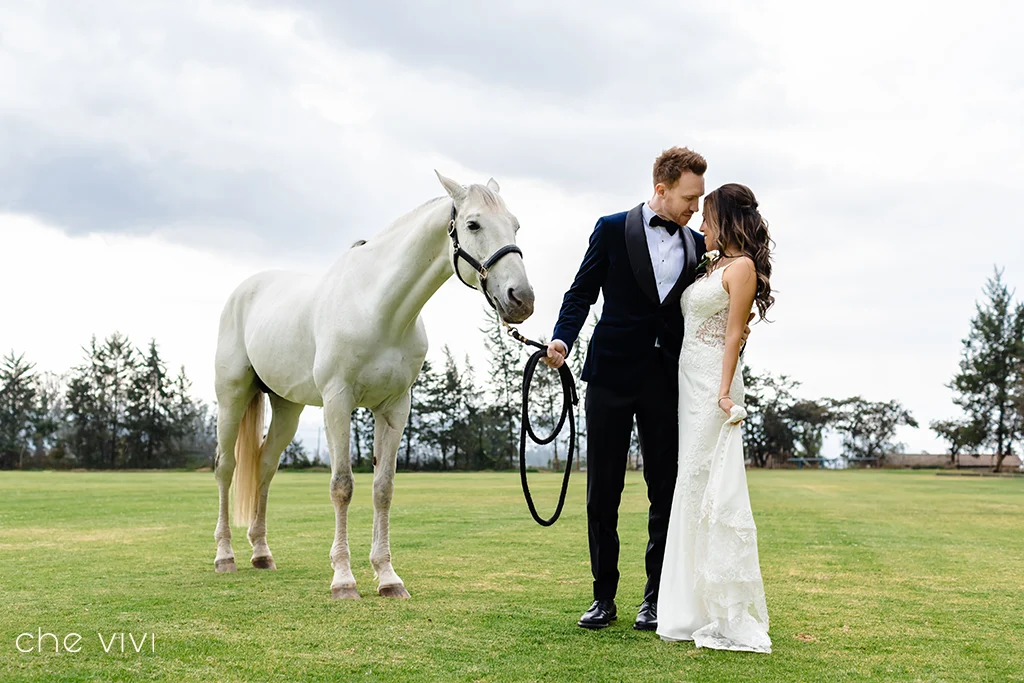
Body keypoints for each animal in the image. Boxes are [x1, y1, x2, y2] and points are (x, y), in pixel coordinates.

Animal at [215, 172, 536, 598]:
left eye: (515, 225)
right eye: (473, 225)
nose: (522, 299)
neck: (377, 309)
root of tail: (244, 290)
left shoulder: (395, 407)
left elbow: (383, 488)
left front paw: (387, 576)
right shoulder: (338, 402)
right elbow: (342, 486)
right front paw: (343, 579)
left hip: (287, 408)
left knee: (265, 466)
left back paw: (261, 553)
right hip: (231, 397)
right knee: (226, 467)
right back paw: (225, 556)